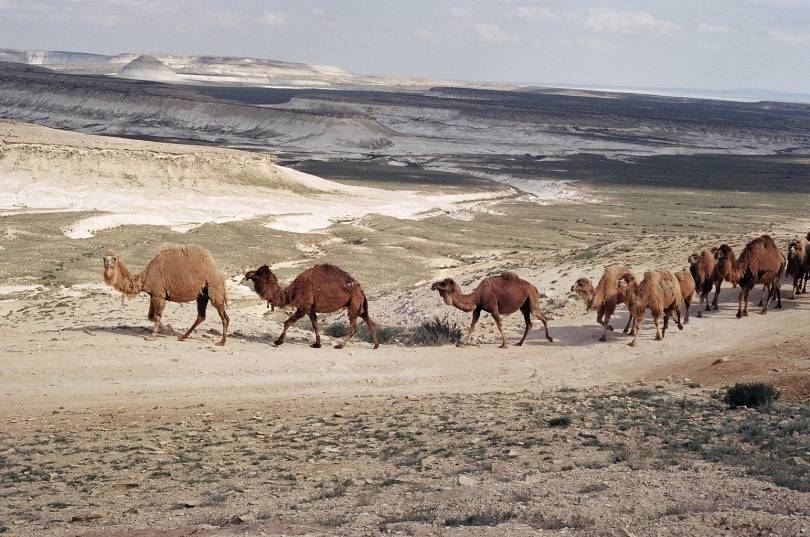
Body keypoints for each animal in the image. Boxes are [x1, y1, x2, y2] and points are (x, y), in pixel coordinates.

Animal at [243, 262, 378, 348]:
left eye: (259, 273)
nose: (247, 274)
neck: (292, 292)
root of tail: (361, 290)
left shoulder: (304, 307)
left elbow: (287, 322)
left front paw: (278, 341)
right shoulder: (311, 309)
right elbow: (315, 325)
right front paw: (317, 344)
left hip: (354, 304)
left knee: (353, 327)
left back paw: (340, 345)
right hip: (359, 306)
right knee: (369, 321)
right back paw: (376, 345)